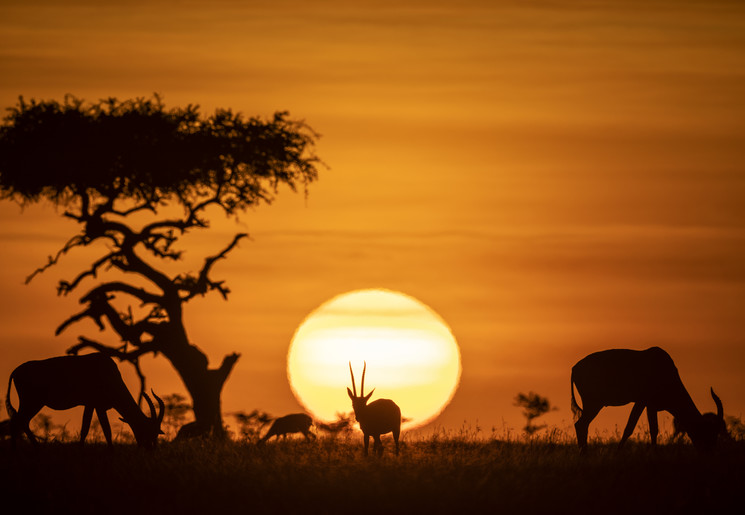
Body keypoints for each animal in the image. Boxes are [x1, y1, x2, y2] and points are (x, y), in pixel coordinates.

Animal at [5, 354, 165, 448]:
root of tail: (15, 371)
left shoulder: (93, 406)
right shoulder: (96, 405)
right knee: (17, 422)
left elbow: (91, 429)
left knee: (21, 422)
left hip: (32, 403)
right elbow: (102, 430)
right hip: (32, 402)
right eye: (148, 429)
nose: (150, 450)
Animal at [568, 348, 728, 454]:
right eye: (707, 433)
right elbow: (631, 428)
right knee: (580, 424)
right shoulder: (643, 402)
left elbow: (653, 429)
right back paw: (584, 454)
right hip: (594, 405)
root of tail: (574, 369)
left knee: (582, 424)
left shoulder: (650, 406)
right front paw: (619, 453)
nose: (709, 454)